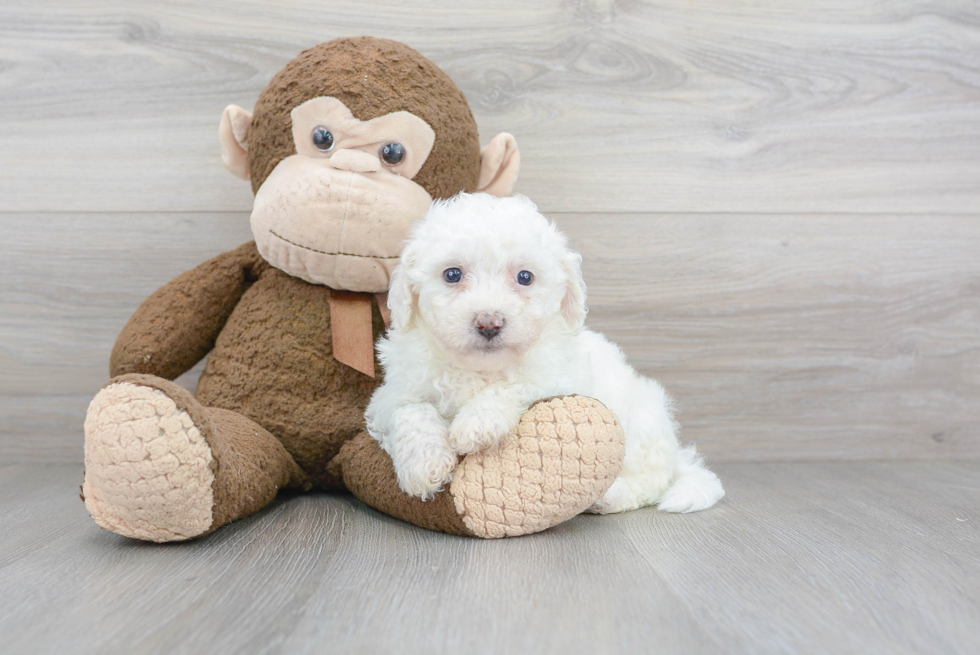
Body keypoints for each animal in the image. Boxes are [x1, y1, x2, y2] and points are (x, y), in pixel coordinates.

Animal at [364, 192, 724, 516]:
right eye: (452, 274)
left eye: (525, 277)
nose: (489, 323)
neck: (480, 369)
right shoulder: (391, 395)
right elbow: (410, 411)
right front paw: (424, 465)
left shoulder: (557, 378)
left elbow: (515, 385)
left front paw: (476, 423)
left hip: (640, 425)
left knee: (651, 481)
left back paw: (609, 497)